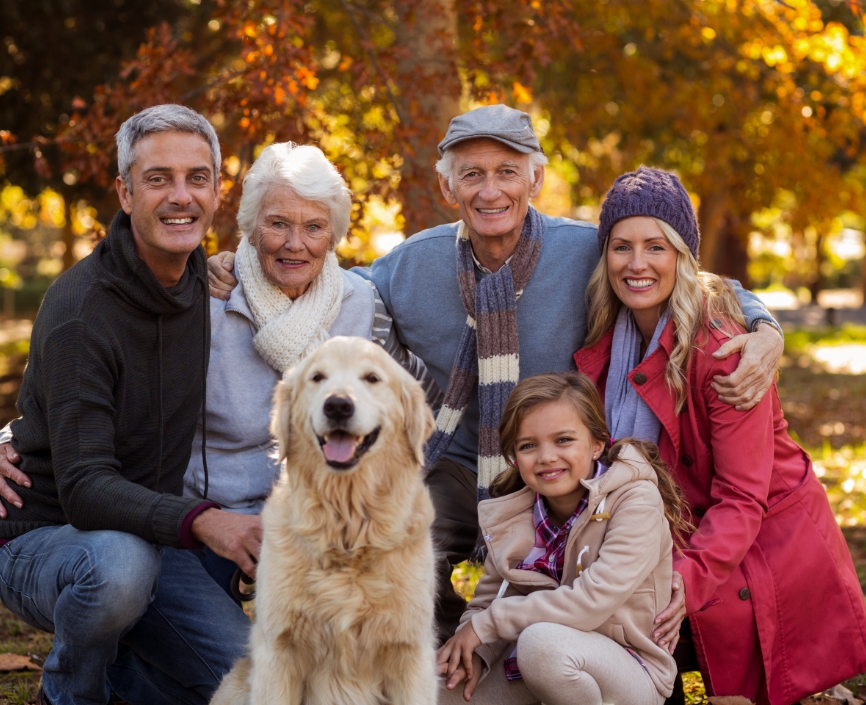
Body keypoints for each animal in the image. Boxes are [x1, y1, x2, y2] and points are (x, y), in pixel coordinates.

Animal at [210, 336, 438, 704]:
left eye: (372, 378)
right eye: (317, 377)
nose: (338, 405)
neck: (346, 532)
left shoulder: (411, 651)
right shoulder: (278, 650)